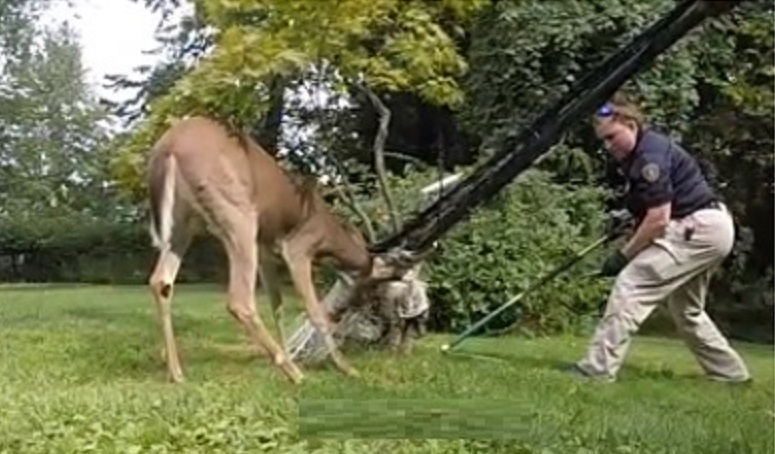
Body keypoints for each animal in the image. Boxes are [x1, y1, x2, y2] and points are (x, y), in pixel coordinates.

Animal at [146, 115, 399, 385]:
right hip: (238, 214)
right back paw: (295, 374)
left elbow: (278, 306)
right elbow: (315, 311)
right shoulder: (298, 249)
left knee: (161, 281)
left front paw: (291, 356)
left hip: (182, 225)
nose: (363, 307)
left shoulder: (266, 253)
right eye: (372, 283)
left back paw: (177, 373)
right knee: (239, 300)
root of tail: (169, 146)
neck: (326, 228)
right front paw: (347, 368)